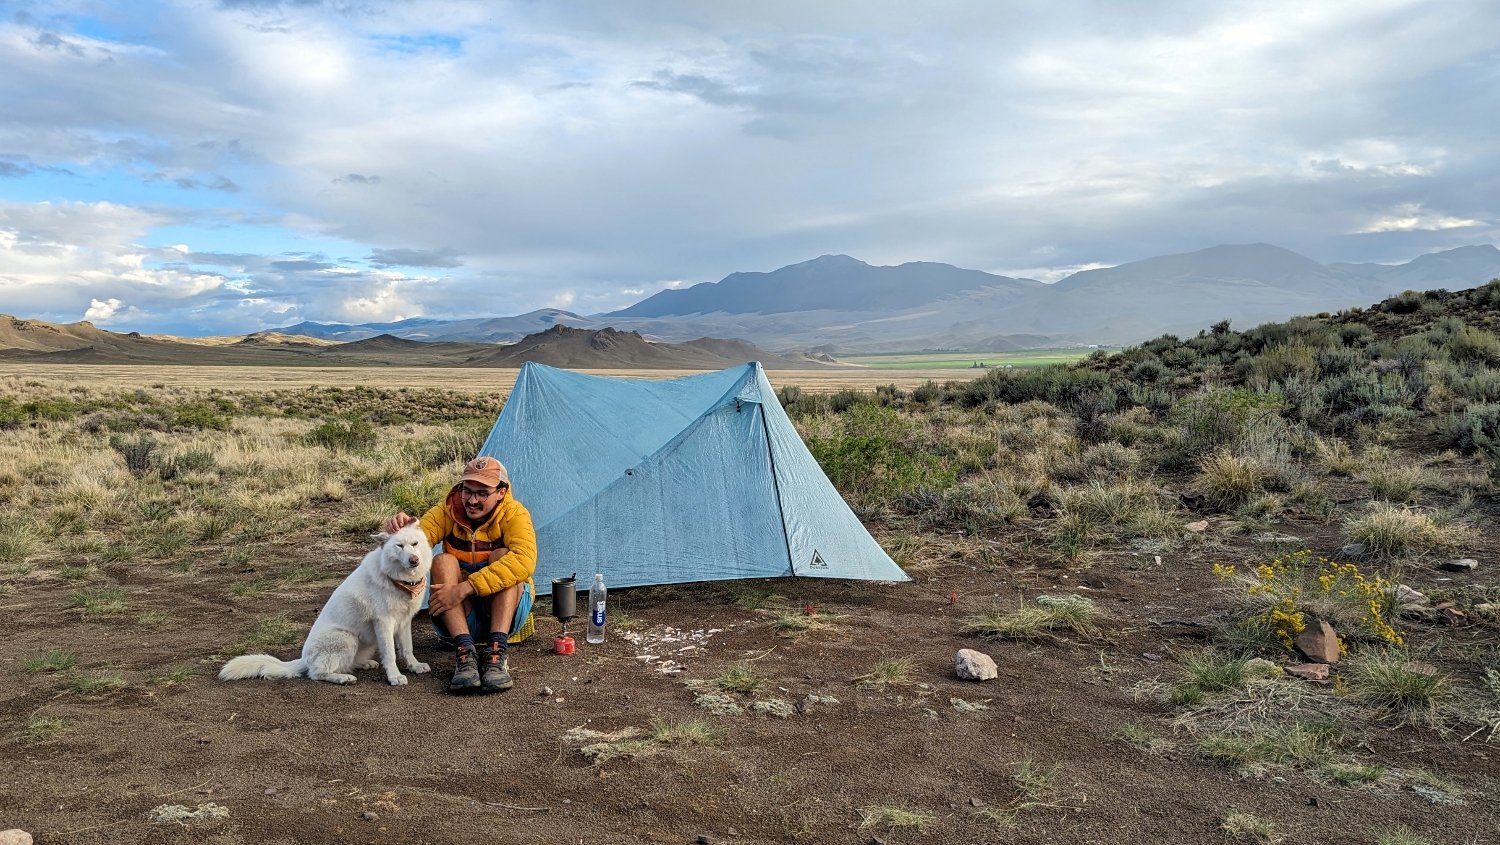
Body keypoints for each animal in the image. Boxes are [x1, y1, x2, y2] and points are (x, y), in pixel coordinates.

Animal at [219, 525, 438, 684]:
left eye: (415, 544)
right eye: (399, 546)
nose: (414, 560)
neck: (400, 580)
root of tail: (303, 658)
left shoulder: (404, 622)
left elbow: (407, 649)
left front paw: (415, 666)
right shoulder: (384, 623)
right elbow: (391, 654)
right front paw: (394, 677)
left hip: (366, 642)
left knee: (345, 663)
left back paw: (363, 664)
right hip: (347, 638)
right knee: (317, 674)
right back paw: (342, 678)